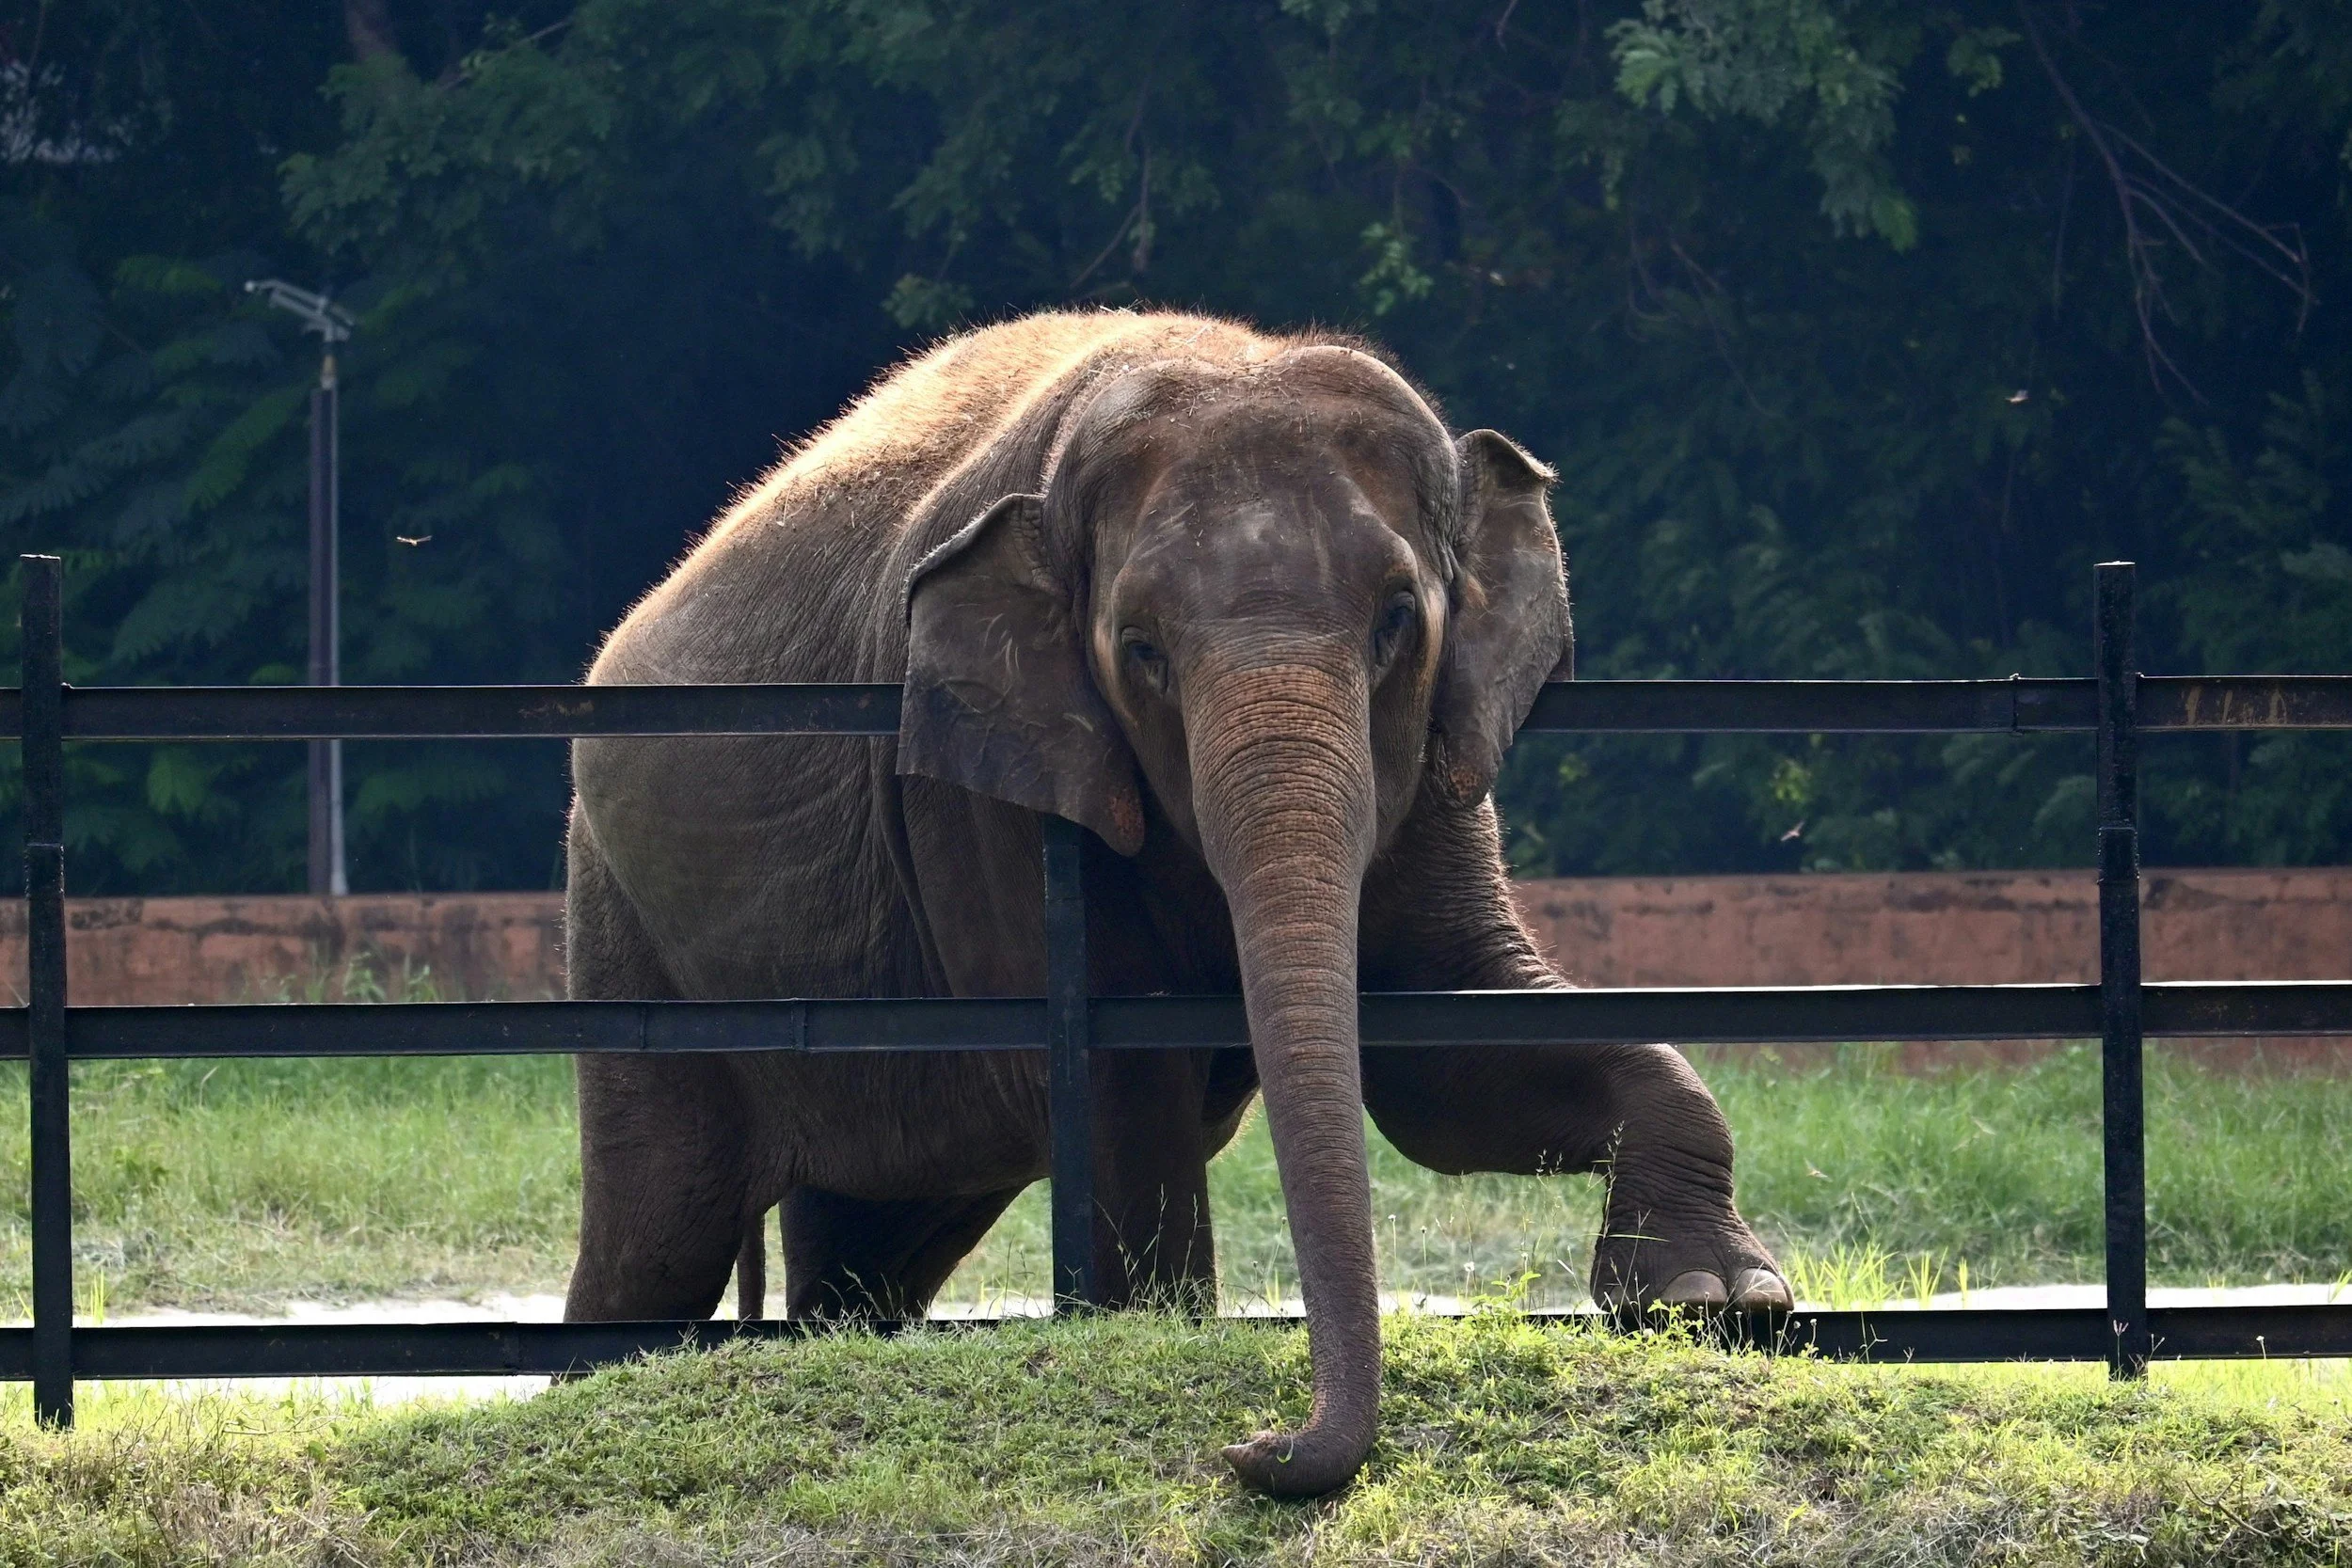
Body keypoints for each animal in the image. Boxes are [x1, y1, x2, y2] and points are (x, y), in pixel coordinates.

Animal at [563, 309, 1789, 1496]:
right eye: (1140, 648)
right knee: (657, 1227)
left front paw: (1716, 1298)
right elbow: (1124, 1089)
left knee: (870, 1234)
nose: (1253, 1445)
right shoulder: (995, 805)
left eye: (1398, 618)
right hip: (622, 930)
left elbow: (1443, 1059)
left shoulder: (1437, 772)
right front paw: (1165, 1328)